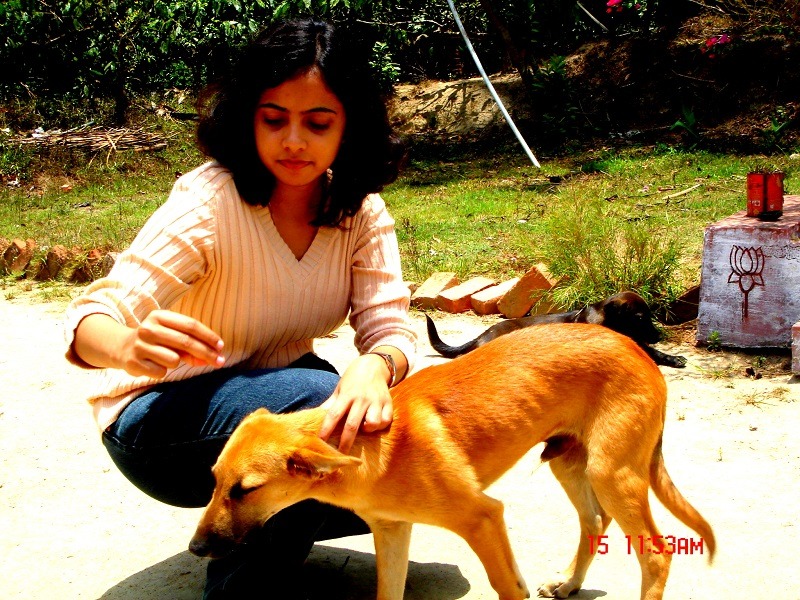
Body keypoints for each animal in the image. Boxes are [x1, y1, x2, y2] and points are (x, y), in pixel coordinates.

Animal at [191, 326, 716, 596]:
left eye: (245, 490)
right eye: (213, 481)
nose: (196, 549)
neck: (369, 451)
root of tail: (638, 349)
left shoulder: (482, 517)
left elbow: (507, 586)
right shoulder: (393, 532)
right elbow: (389, 592)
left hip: (612, 473)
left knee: (656, 555)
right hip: (570, 464)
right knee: (595, 521)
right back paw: (569, 583)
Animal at [424, 288, 688, 368]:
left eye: (650, 316)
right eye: (641, 318)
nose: (658, 335)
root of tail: (482, 335)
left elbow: (653, 352)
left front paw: (673, 358)